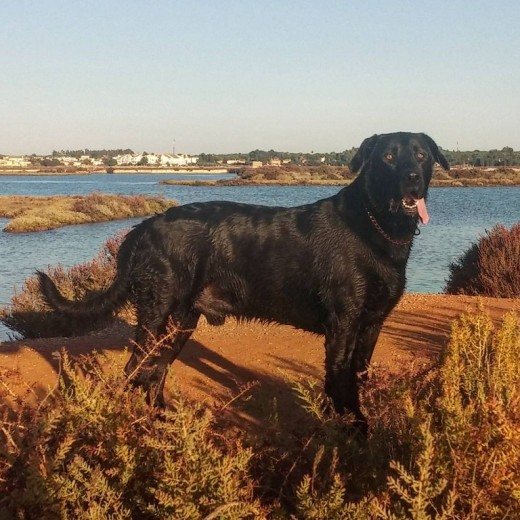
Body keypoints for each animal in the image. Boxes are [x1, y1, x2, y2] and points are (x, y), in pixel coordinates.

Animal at [39, 131, 446, 430]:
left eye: (421, 155)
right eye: (388, 157)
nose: (412, 179)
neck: (374, 226)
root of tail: (143, 228)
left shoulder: (372, 325)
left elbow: (358, 378)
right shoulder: (343, 325)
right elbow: (340, 383)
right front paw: (349, 431)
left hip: (181, 322)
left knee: (155, 371)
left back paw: (162, 421)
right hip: (157, 313)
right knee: (136, 370)